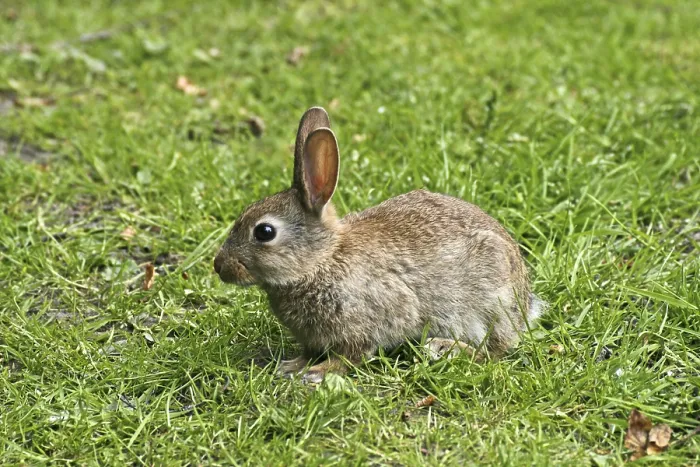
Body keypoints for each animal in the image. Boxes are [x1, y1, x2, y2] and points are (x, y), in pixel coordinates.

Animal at [214, 106, 545, 383]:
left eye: (264, 232)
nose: (219, 267)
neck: (321, 260)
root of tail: (525, 301)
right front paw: (293, 365)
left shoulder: (370, 317)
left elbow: (355, 355)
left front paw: (319, 371)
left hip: (490, 302)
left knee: (495, 350)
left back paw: (446, 348)